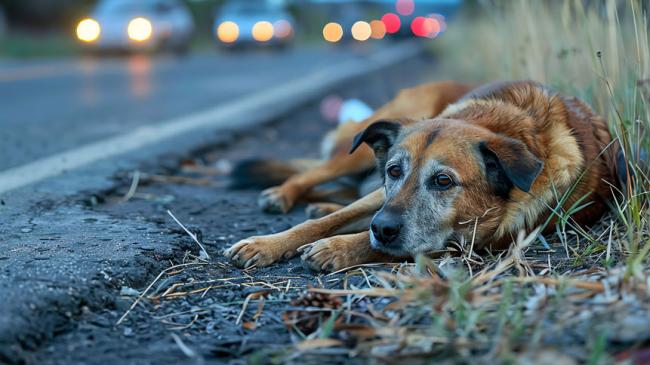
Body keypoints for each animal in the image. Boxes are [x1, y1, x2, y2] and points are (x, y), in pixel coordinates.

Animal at [225, 81, 620, 272]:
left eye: (444, 181)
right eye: (394, 171)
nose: (383, 227)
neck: (505, 125)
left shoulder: (472, 239)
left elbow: (381, 244)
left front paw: (338, 247)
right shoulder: (382, 195)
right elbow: (326, 224)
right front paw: (265, 244)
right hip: (362, 149)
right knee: (320, 176)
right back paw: (284, 194)